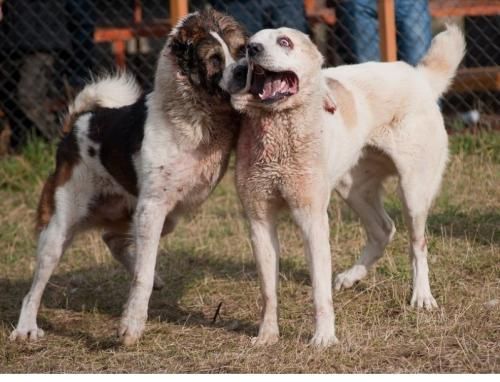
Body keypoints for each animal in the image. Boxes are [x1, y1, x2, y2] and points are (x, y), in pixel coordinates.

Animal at [10, 9, 248, 346]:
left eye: (241, 51)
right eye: (215, 59)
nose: (244, 70)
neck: (191, 115)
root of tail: (77, 125)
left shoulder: (153, 210)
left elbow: (140, 266)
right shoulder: (152, 207)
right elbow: (142, 277)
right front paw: (131, 324)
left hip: (156, 215)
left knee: (111, 239)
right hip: (59, 231)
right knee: (34, 289)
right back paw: (26, 327)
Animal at [223, 23, 464, 346]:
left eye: (284, 42)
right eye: (249, 44)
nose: (253, 50)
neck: (278, 130)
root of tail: (418, 76)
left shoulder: (312, 219)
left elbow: (319, 291)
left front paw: (324, 338)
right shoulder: (260, 222)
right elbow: (268, 292)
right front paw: (267, 336)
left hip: (413, 193)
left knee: (418, 245)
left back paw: (421, 296)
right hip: (353, 190)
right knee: (384, 230)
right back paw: (351, 277)